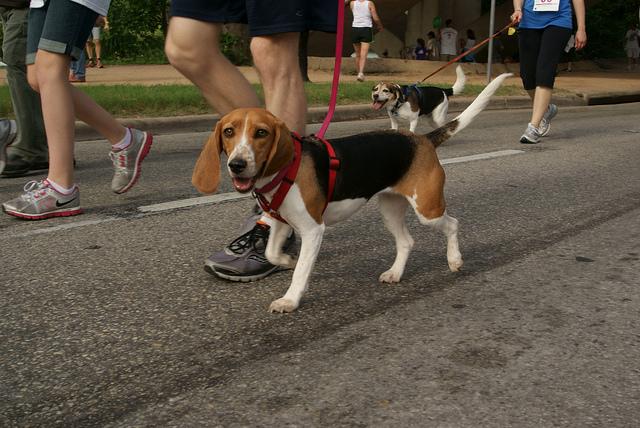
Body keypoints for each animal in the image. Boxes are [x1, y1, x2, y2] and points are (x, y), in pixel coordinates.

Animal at [191, 72, 510, 314]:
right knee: (406, 242)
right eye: (229, 132)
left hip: (427, 208)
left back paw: (455, 260)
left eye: (261, 133)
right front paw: (286, 261)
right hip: (390, 209)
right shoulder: (281, 222)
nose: (237, 165)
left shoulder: (313, 229)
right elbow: (271, 252)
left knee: (452, 224)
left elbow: (301, 270)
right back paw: (395, 273)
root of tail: (422, 139)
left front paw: (290, 299)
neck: (282, 172)